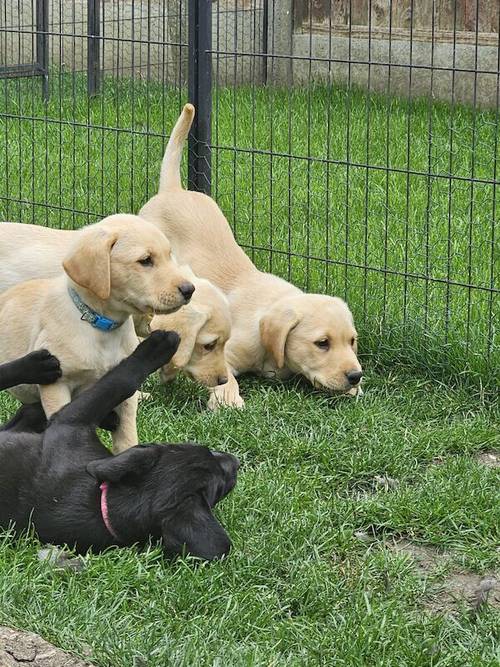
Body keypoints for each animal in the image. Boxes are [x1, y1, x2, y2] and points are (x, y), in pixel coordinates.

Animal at [0, 214, 194, 454]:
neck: (102, 326)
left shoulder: (126, 400)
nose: (189, 290)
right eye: (145, 260)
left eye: (169, 255)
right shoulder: (57, 387)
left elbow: (126, 437)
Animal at [0, 332, 240, 560]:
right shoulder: (71, 422)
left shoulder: (67, 423)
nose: (235, 461)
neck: (111, 503)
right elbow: (121, 382)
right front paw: (156, 347)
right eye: (204, 450)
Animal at [139, 105, 362, 408]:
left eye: (352, 341)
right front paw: (228, 398)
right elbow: (223, 373)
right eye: (322, 343)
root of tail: (173, 189)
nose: (355, 376)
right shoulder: (226, 350)